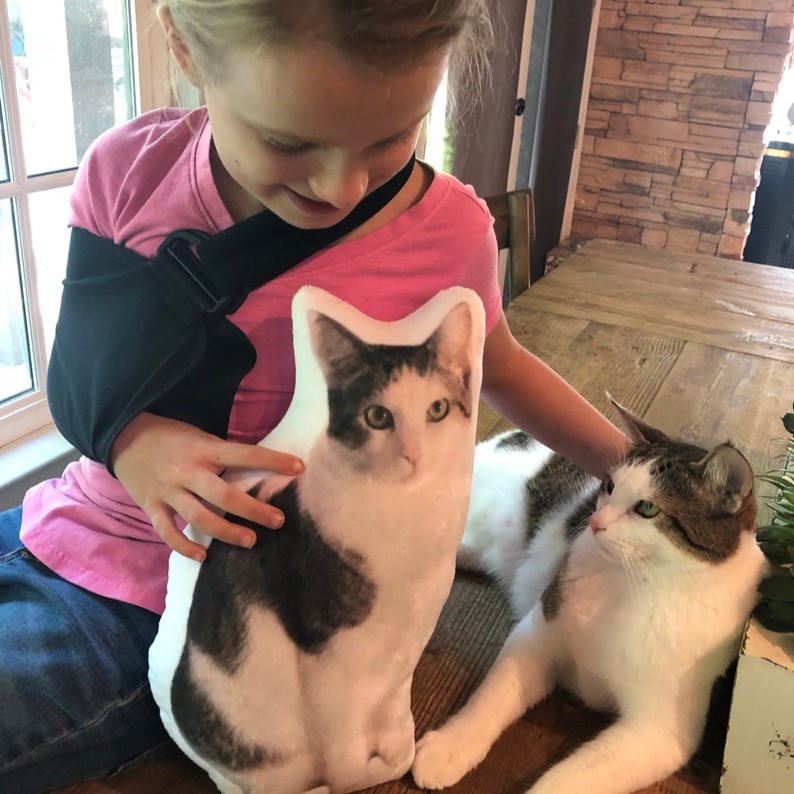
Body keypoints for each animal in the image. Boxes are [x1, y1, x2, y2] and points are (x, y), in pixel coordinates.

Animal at [149, 287, 485, 794]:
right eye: (378, 416)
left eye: (438, 410)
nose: (413, 455)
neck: (403, 515)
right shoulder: (327, 651)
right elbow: (342, 738)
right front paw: (361, 773)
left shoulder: (408, 638)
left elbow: (390, 703)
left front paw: (395, 749)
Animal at [411, 398, 768, 794]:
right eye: (609, 486)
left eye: (647, 508)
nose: (596, 523)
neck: (637, 583)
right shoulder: (537, 635)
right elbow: (491, 700)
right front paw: (449, 747)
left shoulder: (659, 733)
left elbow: (566, 781)